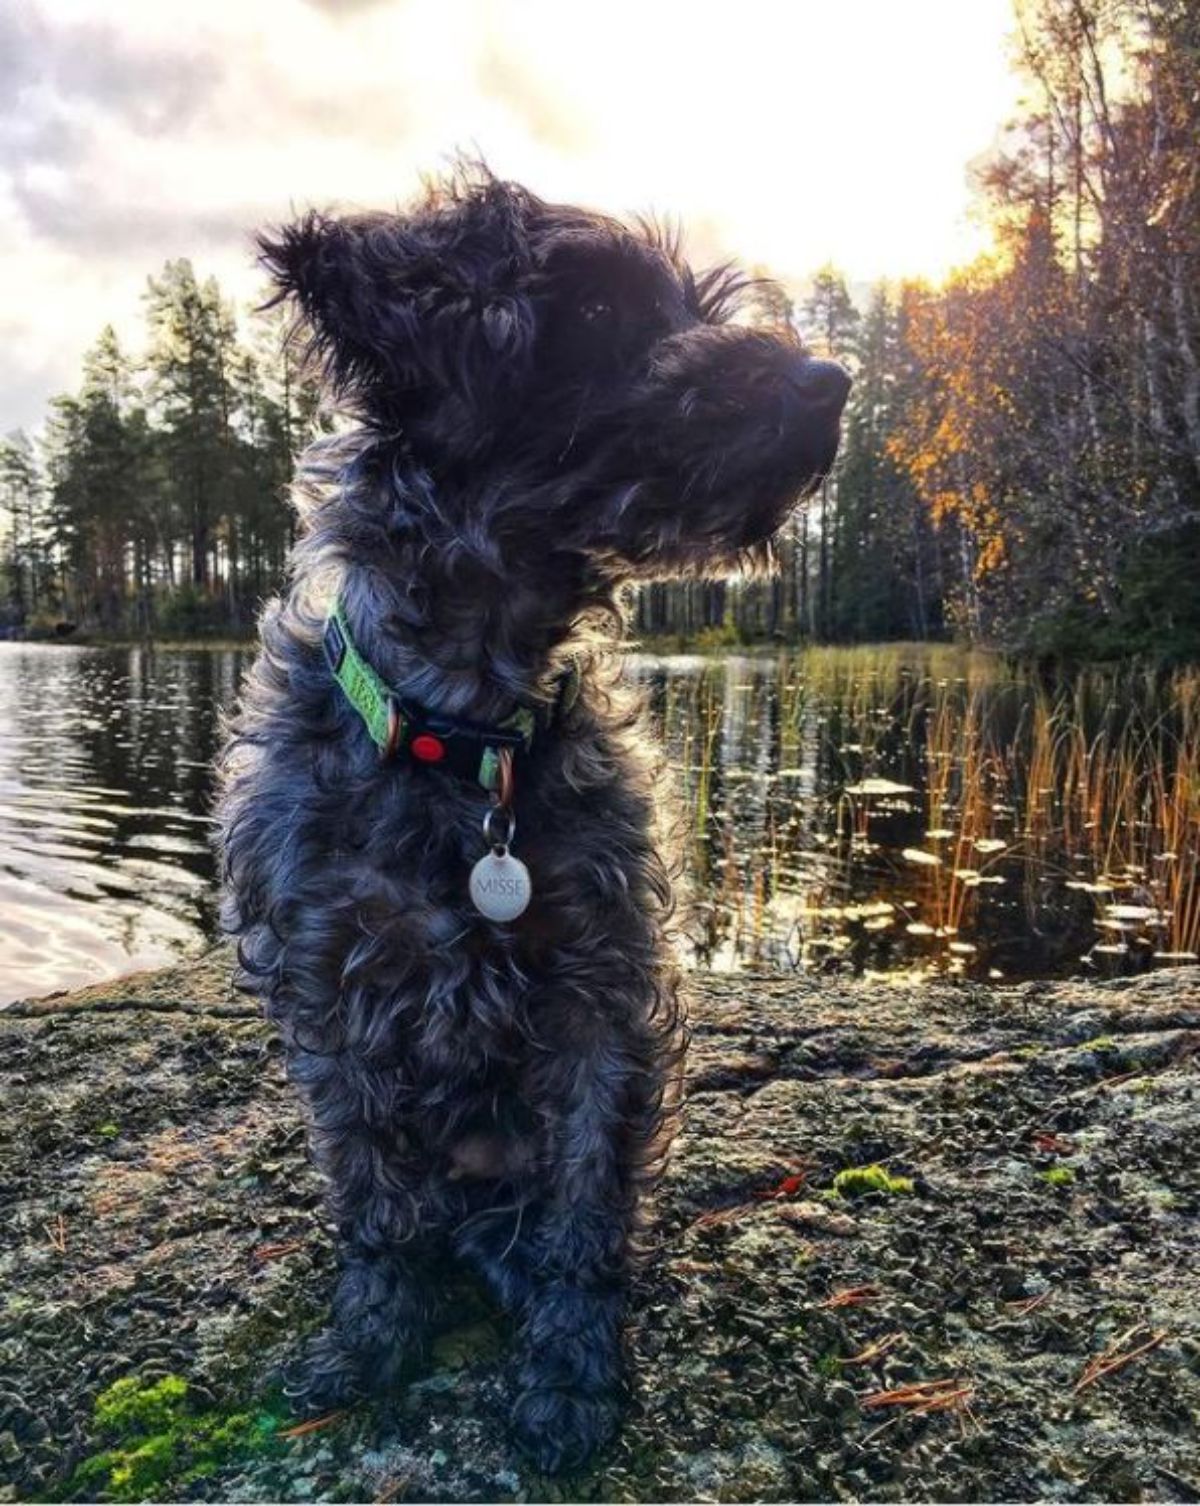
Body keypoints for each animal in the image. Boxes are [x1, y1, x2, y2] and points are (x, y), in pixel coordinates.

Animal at [218, 164, 849, 1469]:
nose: (830, 384)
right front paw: (371, 1339)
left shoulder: (602, 992)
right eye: (599, 314)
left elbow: (583, 1209)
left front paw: (569, 1372)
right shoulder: (332, 997)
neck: (469, 747)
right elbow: (374, 1198)